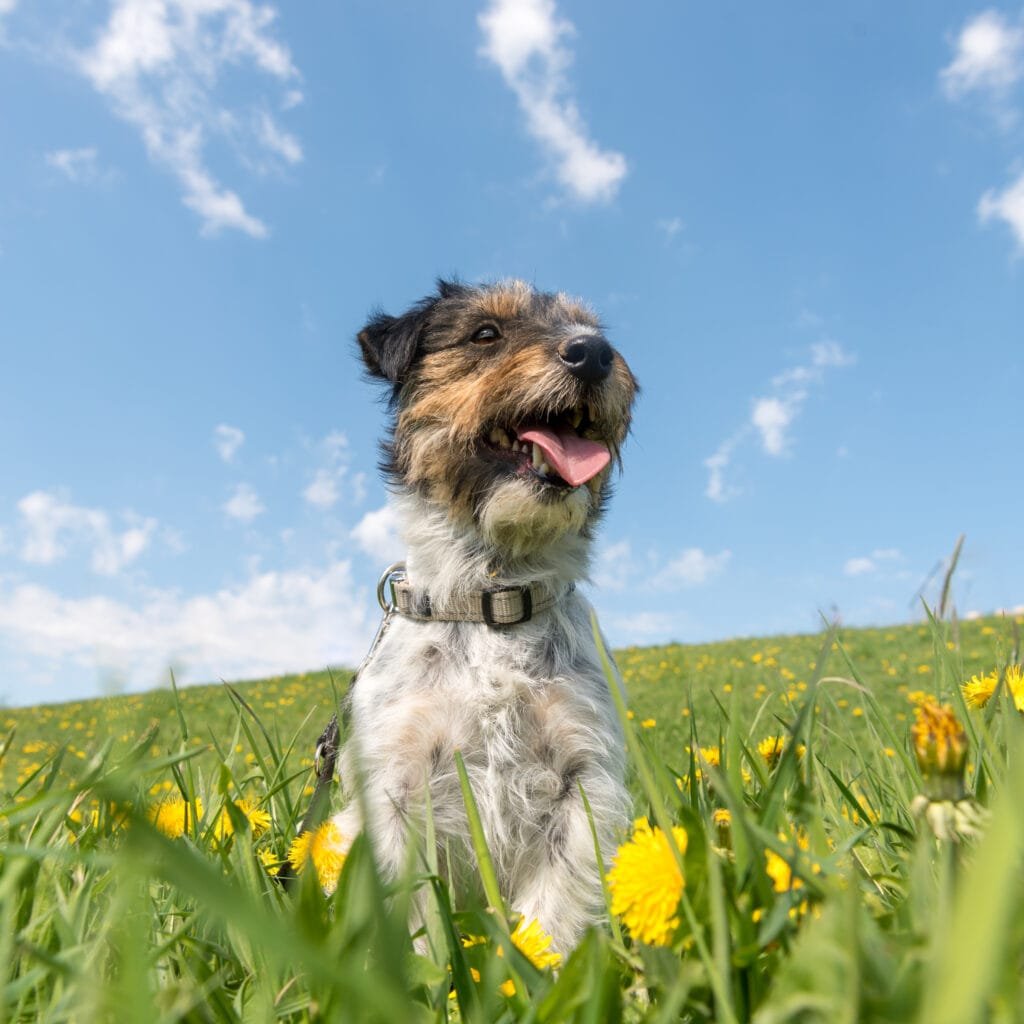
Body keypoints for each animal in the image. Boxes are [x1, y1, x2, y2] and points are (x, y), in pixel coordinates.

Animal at [333, 278, 638, 950]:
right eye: (485, 333)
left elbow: (552, 912)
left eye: (589, 328)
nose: (594, 354)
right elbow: (411, 916)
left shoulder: (582, 778)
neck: (494, 598)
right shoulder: (396, 786)